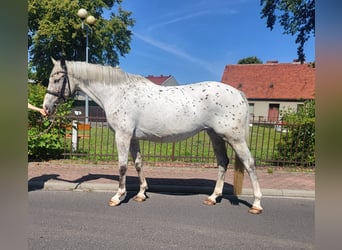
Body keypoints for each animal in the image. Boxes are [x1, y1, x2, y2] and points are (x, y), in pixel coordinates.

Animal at [42, 57, 262, 214]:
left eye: (57, 79)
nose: (46, 107)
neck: (117, 92)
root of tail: (238, 94)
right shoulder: (133, 138)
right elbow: (138, 163)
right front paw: (141, 193)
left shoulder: (122, 136)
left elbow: (122, 166)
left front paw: (118, 196)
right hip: (215, 135)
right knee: (223, 162)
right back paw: (213, 197)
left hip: (235, 138)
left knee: (249, 163)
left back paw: (256, 204)